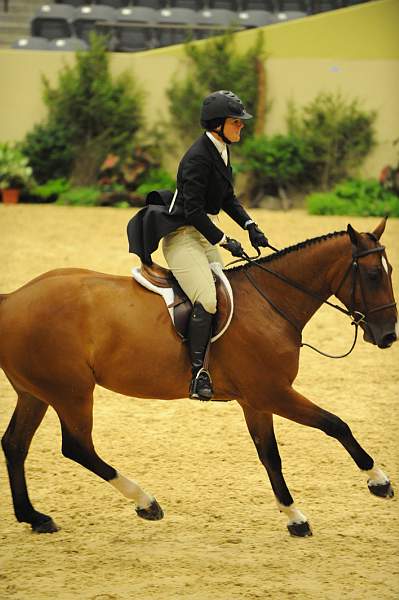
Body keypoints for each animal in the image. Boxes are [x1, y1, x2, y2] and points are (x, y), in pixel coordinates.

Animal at [0, 218, 398, 536]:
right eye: (373, 275)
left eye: (388, 270)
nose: (388, 336)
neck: (269, 303)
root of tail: (13, 298)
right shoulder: (273, 392)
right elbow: (336, 424)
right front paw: (378, 480)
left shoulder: (256, 402)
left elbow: (270, 455)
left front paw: (294, 517)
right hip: (71, 393)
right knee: (76, 446)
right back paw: (146, 502)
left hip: (36, 393)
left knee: (15, 444)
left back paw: (35, 517)